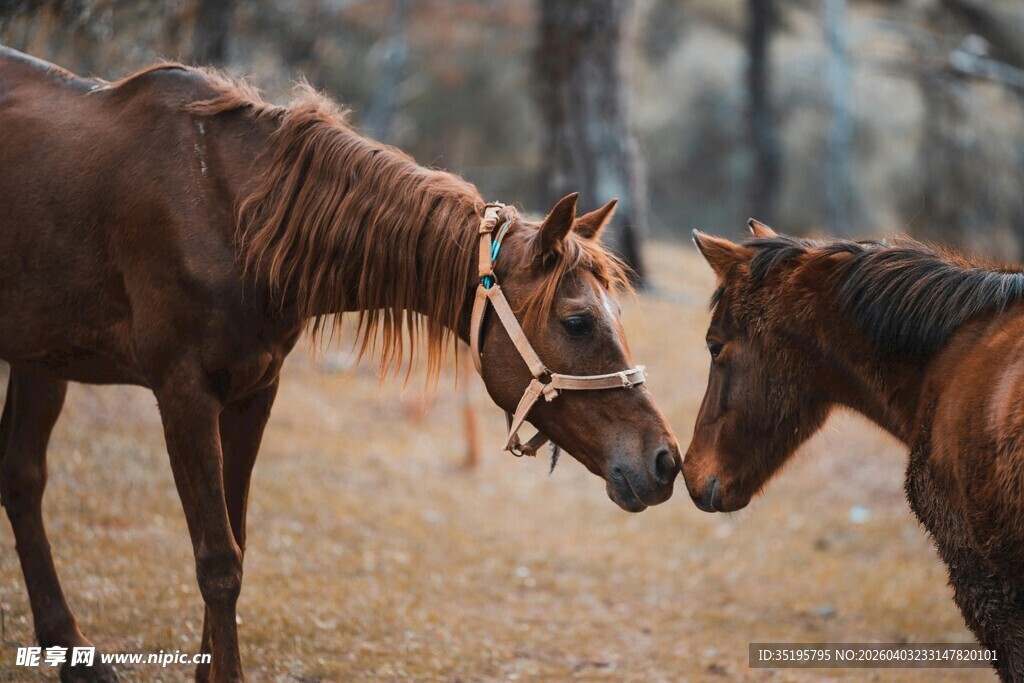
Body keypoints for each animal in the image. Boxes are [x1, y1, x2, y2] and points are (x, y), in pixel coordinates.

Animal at [0, 46, 682, 682]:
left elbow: (235, 541)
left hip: (42, 359)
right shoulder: (184, 394)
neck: (231, 215)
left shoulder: (252, 392)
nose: (664, 461)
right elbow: (218, 561)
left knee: (22, 478)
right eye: (577, 322)